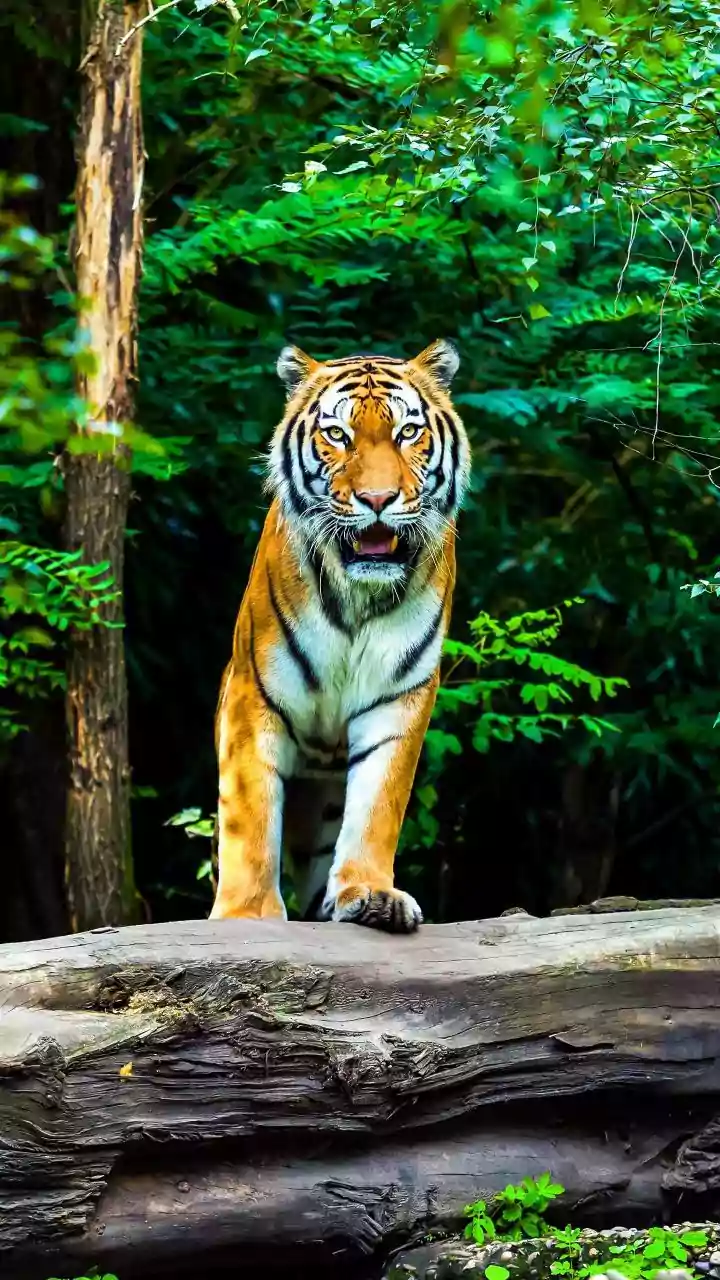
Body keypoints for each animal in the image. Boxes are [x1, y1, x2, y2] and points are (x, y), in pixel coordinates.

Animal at [209, 339, 470, 932]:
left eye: (407, 432)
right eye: (337, 435)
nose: (377, 499)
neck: (358, 598)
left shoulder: (400, 697)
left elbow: (378, 803)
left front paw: (370, 893)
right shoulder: (253, 696)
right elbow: (250, 817)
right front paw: (246, 916)